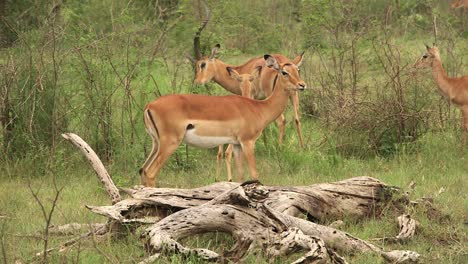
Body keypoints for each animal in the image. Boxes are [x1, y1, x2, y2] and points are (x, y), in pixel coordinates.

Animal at [139, 55, 308, 188]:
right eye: (284, 72)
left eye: (298, 70)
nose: (302, 85)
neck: (259, 108)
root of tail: (149, 105)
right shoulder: (248, 142)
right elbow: (254, 174)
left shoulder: (236, 145)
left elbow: (240, 175)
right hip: (170, 143)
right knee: (151, 172)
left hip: (156, 143)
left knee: (143, 170)